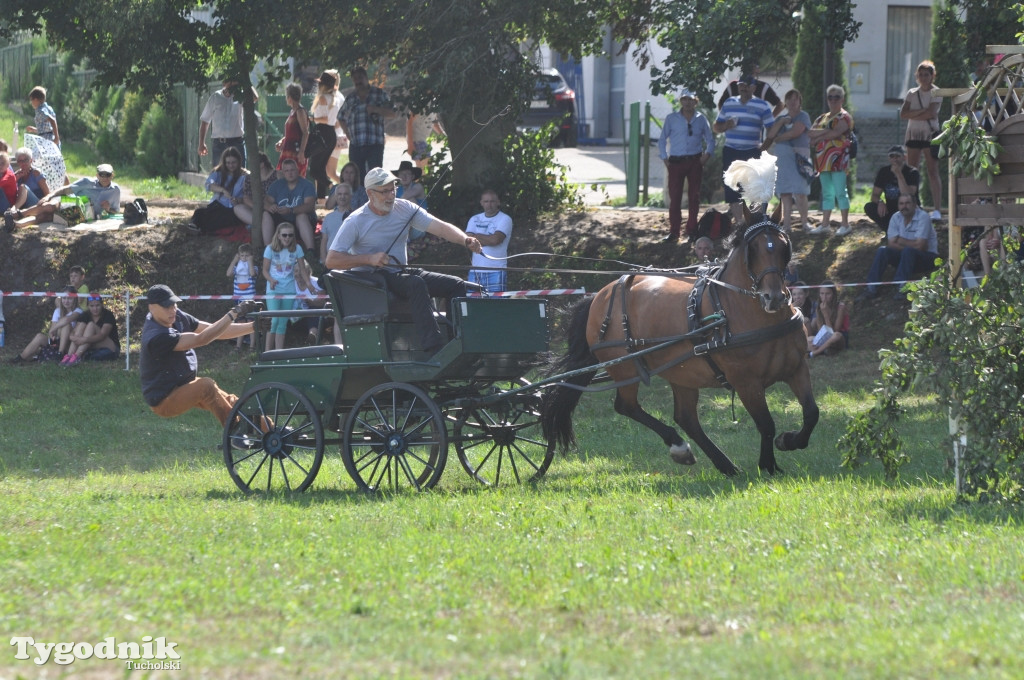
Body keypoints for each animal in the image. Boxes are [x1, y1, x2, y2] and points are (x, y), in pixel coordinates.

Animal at [540, 209, 819, 475]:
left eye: (783, 246)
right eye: (754, 249)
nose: (774, 297)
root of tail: (599, 295)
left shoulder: (797, 369)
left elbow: (811, 413)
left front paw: (790, 441)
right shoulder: (746, 382)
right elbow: (766, 424)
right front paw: (768, 465)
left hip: (682, 373)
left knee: (686, 418)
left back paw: (724, 465)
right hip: (625, 368)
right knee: (627, 407)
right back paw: (679, 446)